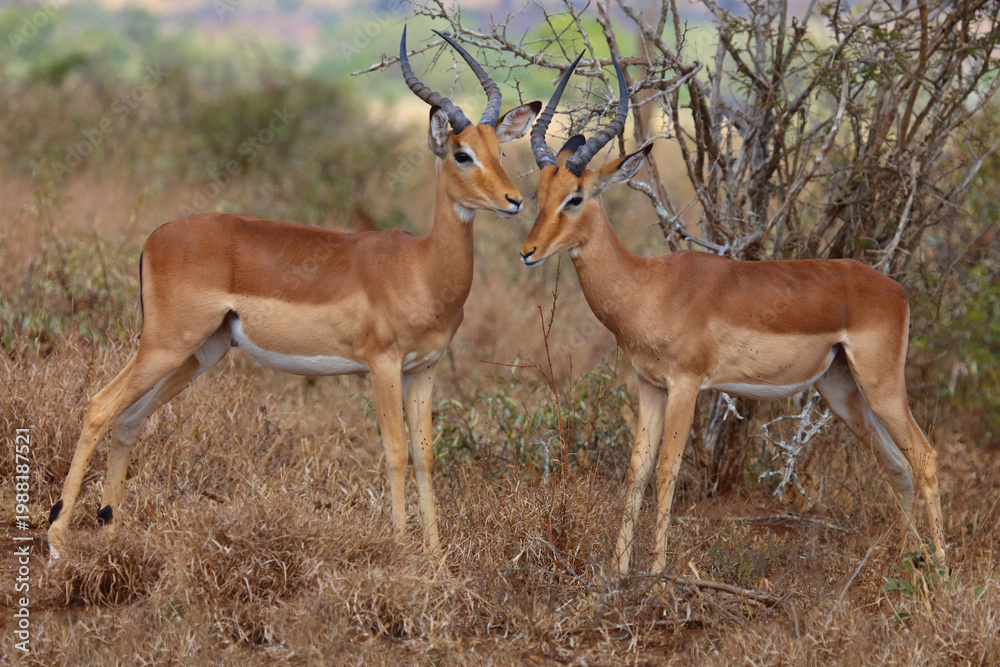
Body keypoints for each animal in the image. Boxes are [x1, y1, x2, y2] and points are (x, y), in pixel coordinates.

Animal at [47, 28, 541, 559]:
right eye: (461, 153)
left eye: (501, 152)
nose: (514, 201)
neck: (421, 267)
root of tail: (154, 238)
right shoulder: (383, 364)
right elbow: (395, 451)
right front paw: (399, 549)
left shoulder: (423, 370)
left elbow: (425, 456)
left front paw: (437, 562)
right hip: (165, 344)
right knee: (100, 406)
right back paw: (56, 540)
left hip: (200, 352)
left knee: (128, 419)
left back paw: (110, 531)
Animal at [521, 53, 946, 574]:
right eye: (539, 194)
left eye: (575, 197)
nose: (528, 252)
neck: (649, 286)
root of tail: (895, 290)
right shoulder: (649, 386)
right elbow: (636, 472)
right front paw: (617, 574)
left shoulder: (686, 385)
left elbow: (667, 470)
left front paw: (656, 574)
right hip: (842, 389)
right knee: (898, 464)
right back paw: (903, 563)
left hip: (881, 385)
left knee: (924, 457)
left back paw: (941, 570)